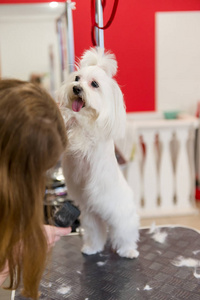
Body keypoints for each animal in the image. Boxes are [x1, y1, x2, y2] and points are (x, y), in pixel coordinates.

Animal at [58, 47, 138, 258]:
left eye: (94, 84)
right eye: (77, 78)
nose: (77, 88)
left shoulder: (88, 140)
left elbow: (79, 135)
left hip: (121, 219)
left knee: (126, 234)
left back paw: (129, 251)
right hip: (90, 216)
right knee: (96, 233)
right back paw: (91, 248)